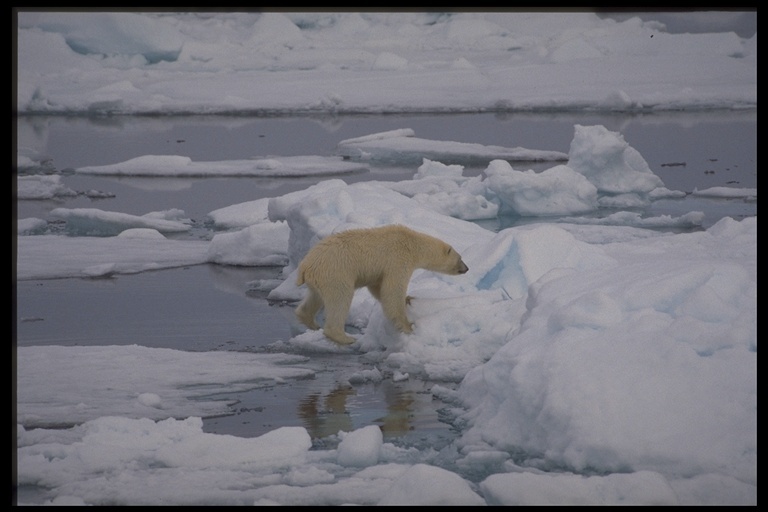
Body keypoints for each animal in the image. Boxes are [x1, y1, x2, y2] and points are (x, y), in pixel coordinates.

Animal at [296, 224, 472, 344]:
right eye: (460, 258)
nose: (467, 268)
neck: (412, 242)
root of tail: (305, 266)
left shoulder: (379, 270)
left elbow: (377, 287)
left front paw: (408, 298)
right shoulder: (398, 259)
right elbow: (392, 290)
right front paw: (408, 326)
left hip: (320, 278)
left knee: (315, 297)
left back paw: (311, 322)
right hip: (336, 272)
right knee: (340, 298)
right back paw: (344, 337)